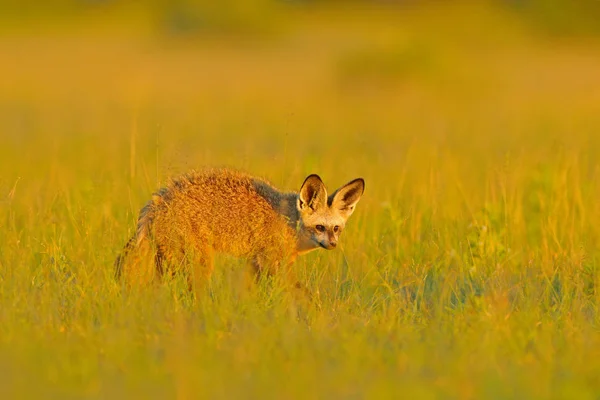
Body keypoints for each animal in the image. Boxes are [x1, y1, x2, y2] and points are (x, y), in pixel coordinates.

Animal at [114, 167, 364, 296]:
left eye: (336, 229)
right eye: (320, 227)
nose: (333, 244)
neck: (290, 220)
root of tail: (157, 200)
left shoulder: (257, 263)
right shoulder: (272, 263)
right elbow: (302, 295)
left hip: (168, 261)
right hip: (199, 263)